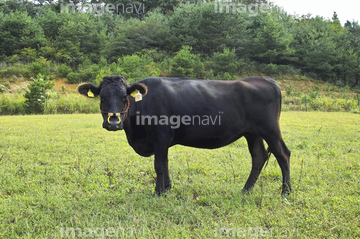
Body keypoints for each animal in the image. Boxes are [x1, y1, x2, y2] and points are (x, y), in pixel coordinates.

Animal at [79, 75, 292, 196]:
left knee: (283, 154)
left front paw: (158, 192)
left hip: (270, 130)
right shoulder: (163, 142)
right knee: (259, 157)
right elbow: (165, 164)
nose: (113, 122)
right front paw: (167, 189)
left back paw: (286, 191)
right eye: (102, 97)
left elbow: (159, 165)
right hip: (252, 133)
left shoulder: (161, 137)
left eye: (125, 97)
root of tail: (266, 79)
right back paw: (246, 190)